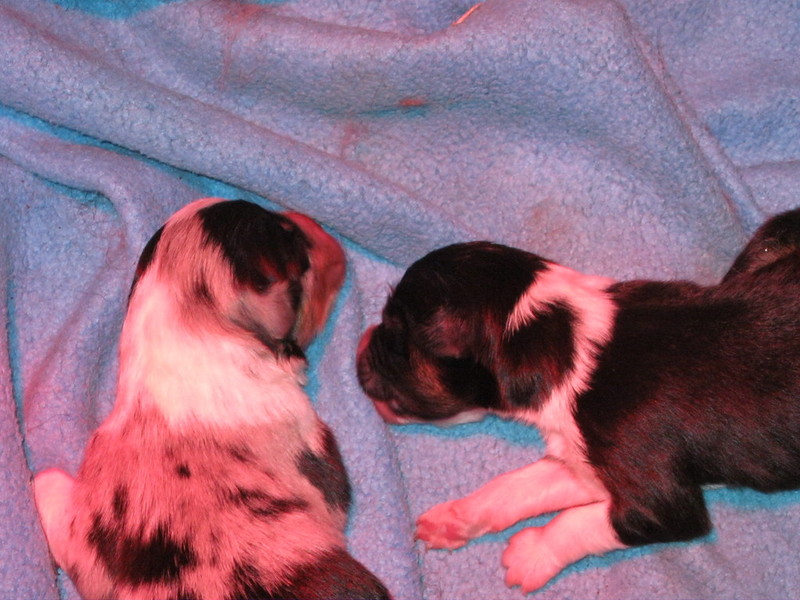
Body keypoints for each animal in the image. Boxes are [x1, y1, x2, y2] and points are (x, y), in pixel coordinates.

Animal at [356, 208, 800, 593]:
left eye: (394, 335)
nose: (360, 341)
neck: (547, 334)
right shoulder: (578, 457)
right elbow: (517, 484)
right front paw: (452, 519)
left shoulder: (660, 505)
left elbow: (584, 523)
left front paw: (530, 556)